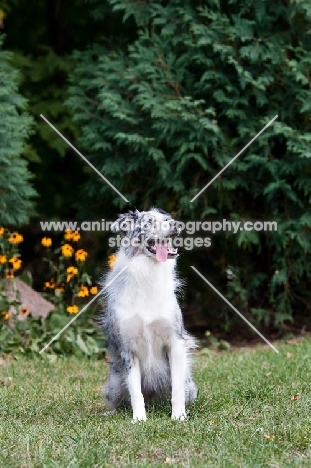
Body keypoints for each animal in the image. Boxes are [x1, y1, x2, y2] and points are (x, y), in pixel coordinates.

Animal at [101, 207, 199, 420]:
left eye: (167, 219)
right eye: (149, 223)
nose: (177, 224)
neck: (149, 272)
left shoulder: (175, 342)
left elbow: (177, 389)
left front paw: (178, 417)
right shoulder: (128, 349)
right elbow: (135, 392)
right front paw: (139, 419)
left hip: (190, 384)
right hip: (113, 383)